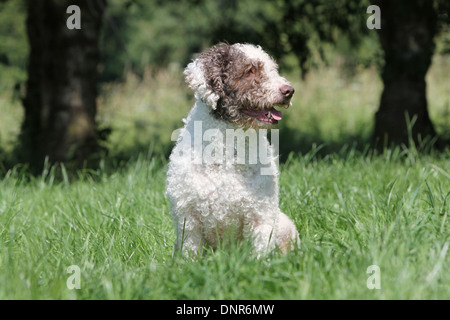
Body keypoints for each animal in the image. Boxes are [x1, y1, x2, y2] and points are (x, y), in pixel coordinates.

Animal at [165, 43, 298, 258]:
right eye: (250, 70)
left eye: (273, 69)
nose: (289, 90)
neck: (227, 153)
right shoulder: (188, 219)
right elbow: (190, 253)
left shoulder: (261, 215)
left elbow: (261, 251)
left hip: (284, 225)